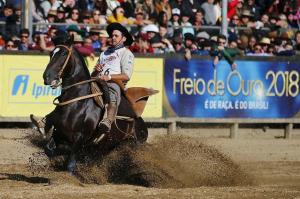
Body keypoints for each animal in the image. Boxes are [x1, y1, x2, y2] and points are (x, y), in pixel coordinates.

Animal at [39, 35, 157, 172]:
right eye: (51, 53)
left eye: (63, 54)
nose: (47, 77)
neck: (77, 103)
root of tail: (142, 125)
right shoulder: (58, 132)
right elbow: (49, 149)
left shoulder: (80, 138)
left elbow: (69, 162)